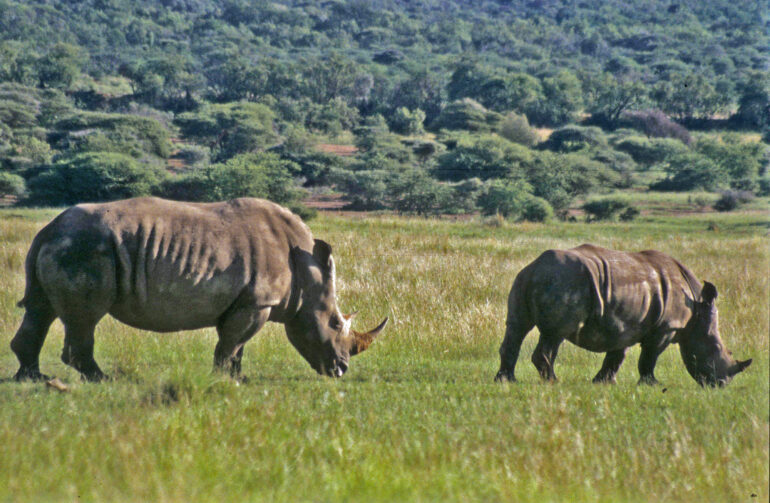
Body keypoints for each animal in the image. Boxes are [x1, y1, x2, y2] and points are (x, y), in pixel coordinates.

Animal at [10, 197, 387, 381]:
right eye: (335, 323)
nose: (341, 370)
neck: (306, 274)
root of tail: (48, 228)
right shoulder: (257, 302)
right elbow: (231, 344)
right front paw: (223, 379)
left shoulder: (246, 303)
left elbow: (237, 347)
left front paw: (238, 378)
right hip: (84, 248)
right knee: (85, 317)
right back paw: (102, 380)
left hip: (65, 244)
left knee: (40, 309)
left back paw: (32, 378)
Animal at [494, 244, 751, 387]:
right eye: (716, 349)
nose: (721, 384)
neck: (697, 308)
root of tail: (536, 267)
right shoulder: (666, 327)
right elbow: (649, 356)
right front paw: (652, 384)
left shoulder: (626, 324)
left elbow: (617, 355)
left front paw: (604, 382)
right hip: (563, 282)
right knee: (555, 334)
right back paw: (553, 381)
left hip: (525, 279)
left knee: (516, 328)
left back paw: (506, 381)